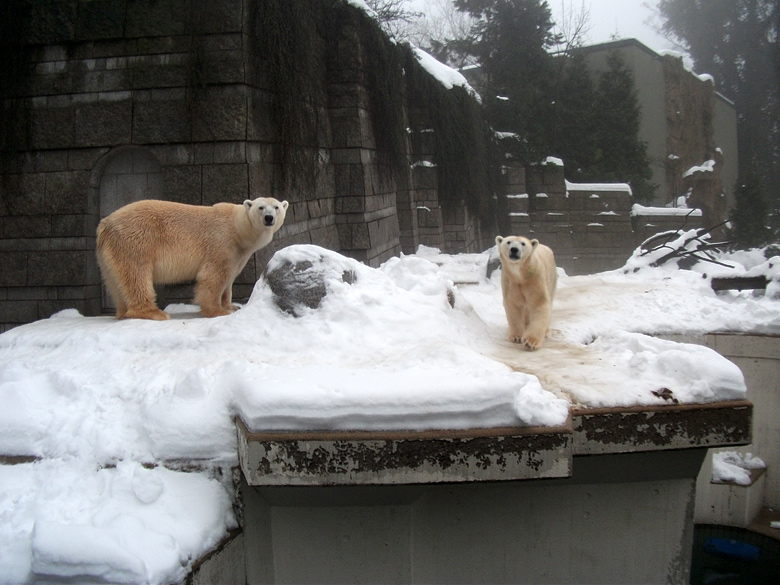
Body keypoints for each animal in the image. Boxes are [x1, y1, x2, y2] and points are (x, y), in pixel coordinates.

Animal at [96, 198, 288, 322]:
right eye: (261, 207)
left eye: (276, 207)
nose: (269, 218)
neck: (237, 228)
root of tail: (105, 224)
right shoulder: (221, 241)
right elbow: (214, 275)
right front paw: (217, 311)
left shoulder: (239, 253)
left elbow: (229, 278)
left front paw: (231, 306)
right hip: (136, 241)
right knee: (136, 274)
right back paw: (154, 313)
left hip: (109, 254)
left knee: (115, 280)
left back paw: (122, 312)